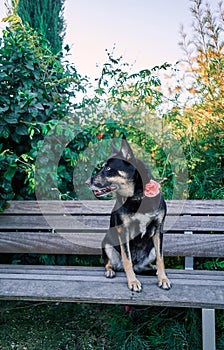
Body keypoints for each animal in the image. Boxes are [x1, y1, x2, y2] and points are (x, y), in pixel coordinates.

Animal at [86, 138, 171, 292]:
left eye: (108, 169)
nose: (87, 182)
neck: (138, 197)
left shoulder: (158, 230)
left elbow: (161, 259)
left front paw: (163, 279)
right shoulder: (123, 231)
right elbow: (127, 260)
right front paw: (133, 281)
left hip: (152, 249)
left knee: (146, 264)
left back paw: (152, 269)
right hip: (107, 244)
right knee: (111, 263)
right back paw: (110, 271)